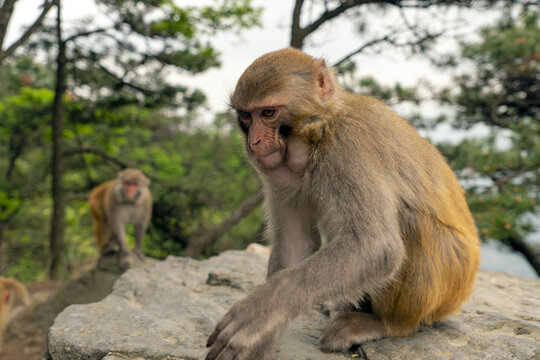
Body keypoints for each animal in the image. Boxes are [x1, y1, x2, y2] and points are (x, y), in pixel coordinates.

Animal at [207, 48, 480, 360]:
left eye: (268, 113)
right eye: (245, 116)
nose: (254, 142)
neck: (318, 134)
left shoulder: (347, 148)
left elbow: (376, 245)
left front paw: (261, 308)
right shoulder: (279, 176)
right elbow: (295, 245)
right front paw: (261, 341)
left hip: (449, 287)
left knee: (412, 224)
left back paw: (387, 324)